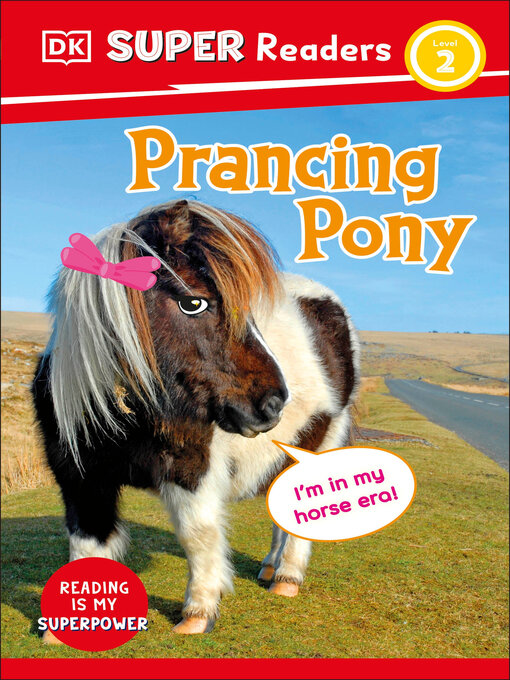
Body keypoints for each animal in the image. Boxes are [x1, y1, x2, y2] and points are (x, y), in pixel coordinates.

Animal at [32, 199, 360, 635]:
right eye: (193, 302)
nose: (273, 403)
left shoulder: (191, 467)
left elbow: (198, 535)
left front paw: (198, 612)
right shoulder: (79, 478)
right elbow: (85, 546)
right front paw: (64, 630)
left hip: (322, 441)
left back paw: (287, 577)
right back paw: (269, 568)